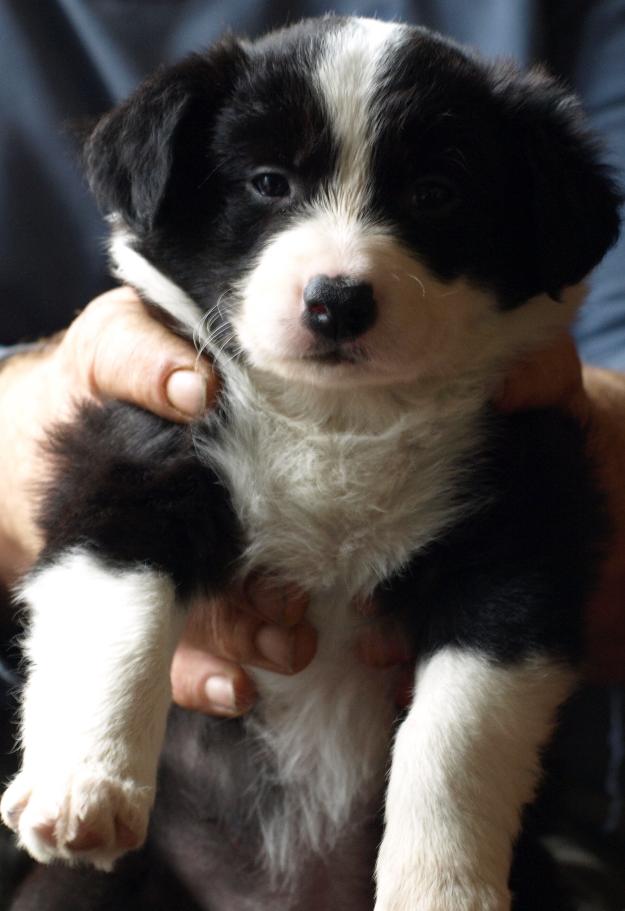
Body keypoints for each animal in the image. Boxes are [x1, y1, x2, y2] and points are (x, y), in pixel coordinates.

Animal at [0, 14, 620, 911]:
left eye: (436, 192)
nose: (337, 301)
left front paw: (440, 884)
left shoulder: (522, 528)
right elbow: (120, 618)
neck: (340, 416)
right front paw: (87, 788)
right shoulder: (138, 456)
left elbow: (458, 731)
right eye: (268, 183)